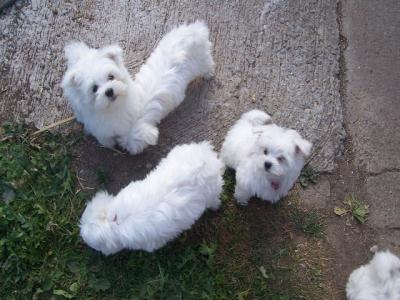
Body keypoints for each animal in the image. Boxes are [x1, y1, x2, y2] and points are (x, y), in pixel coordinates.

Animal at [61, 20, 214, 155]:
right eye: (94, 89)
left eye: (111, 77)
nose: (109, 91)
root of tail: (191, 32)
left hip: (200, 60)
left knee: (207, 64)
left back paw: (209, 74)